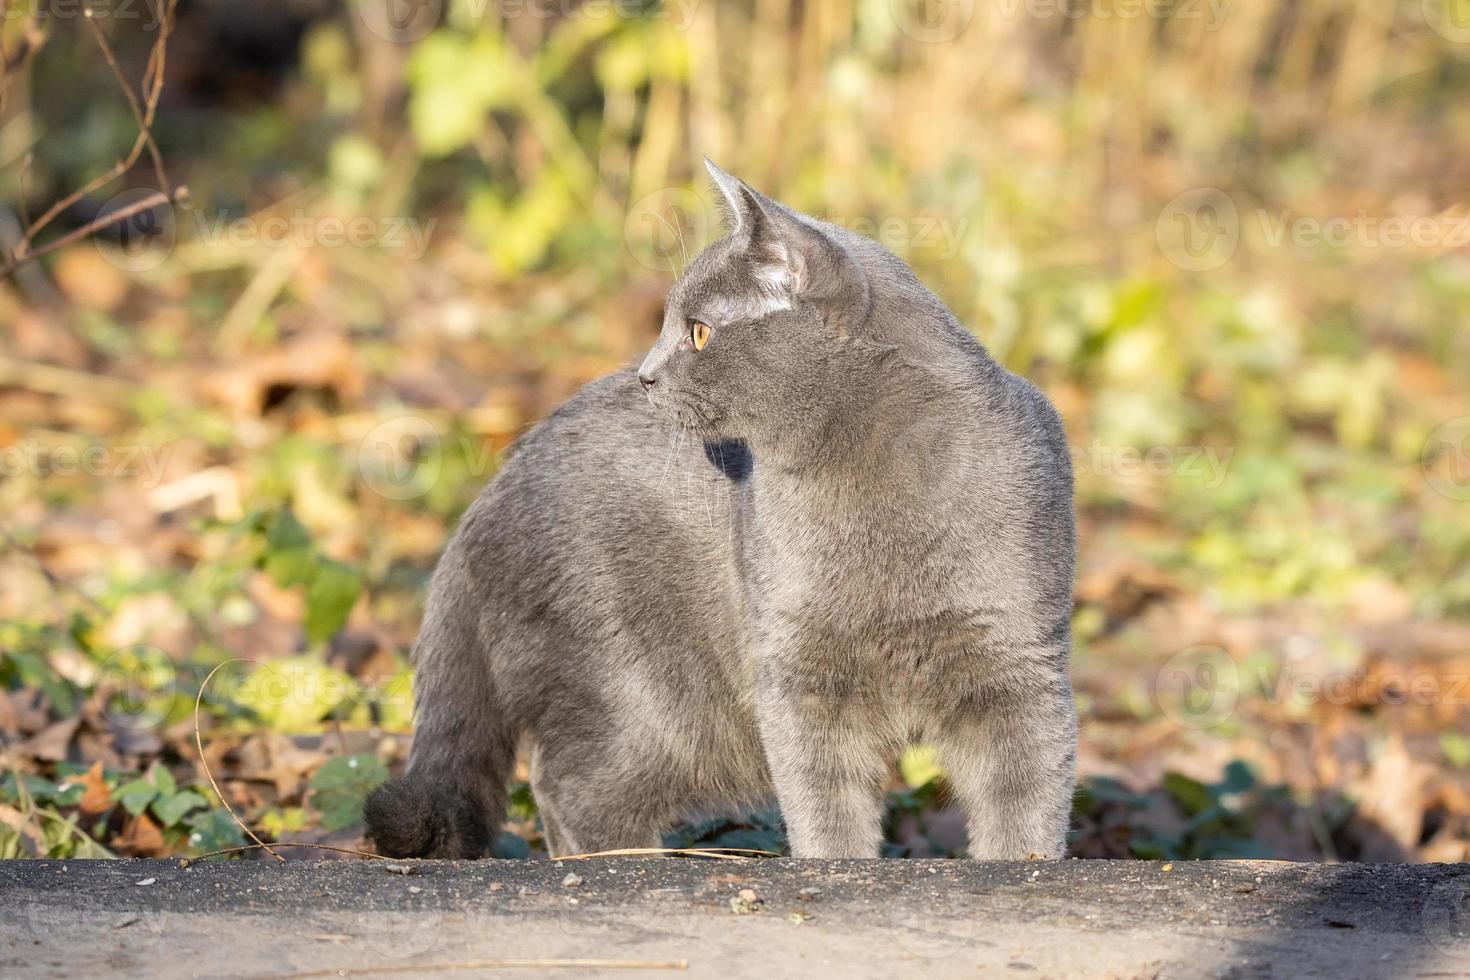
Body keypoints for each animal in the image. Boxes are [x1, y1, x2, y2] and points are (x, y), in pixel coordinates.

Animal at [364, 164, 1081, 863]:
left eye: (700, 331)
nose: (646, 373)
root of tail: (483, 503)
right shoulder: (797, 670)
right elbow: (826, 803)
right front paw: (834, 865)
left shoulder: (1018, 661)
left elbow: (1025, 803)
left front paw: (1018, 866)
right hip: (640, 695)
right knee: (569, 786)